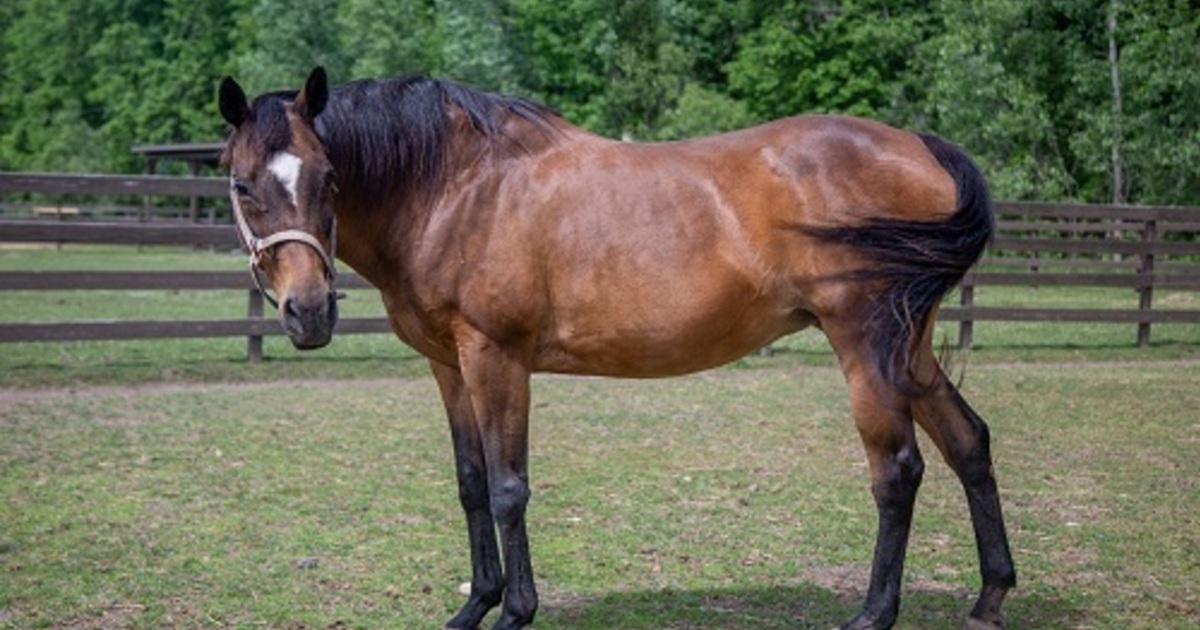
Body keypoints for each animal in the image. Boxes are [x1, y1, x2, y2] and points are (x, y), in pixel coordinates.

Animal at [217, 67, 1015, 630]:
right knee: (968, 441)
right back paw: (990, 596)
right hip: (909, 348)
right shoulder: (448, 364)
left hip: (865, 344)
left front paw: (515, 612)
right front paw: (475, 605)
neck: (453, 186)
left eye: (329, 177)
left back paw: (873, 615)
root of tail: (920, 145)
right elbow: (472, 484)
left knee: (898, 470)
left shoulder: (496, 357)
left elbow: (508, 488)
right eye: (243, 184)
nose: (308, 312)